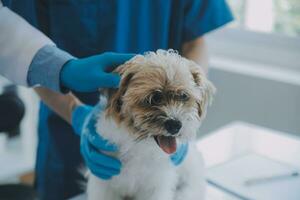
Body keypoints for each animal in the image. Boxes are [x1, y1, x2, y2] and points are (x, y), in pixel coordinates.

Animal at [86, 48, 216, 200]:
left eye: (184, 96)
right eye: (155, 98)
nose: (175, 125)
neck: (138, 145)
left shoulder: (157, 187)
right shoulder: (103, 182)